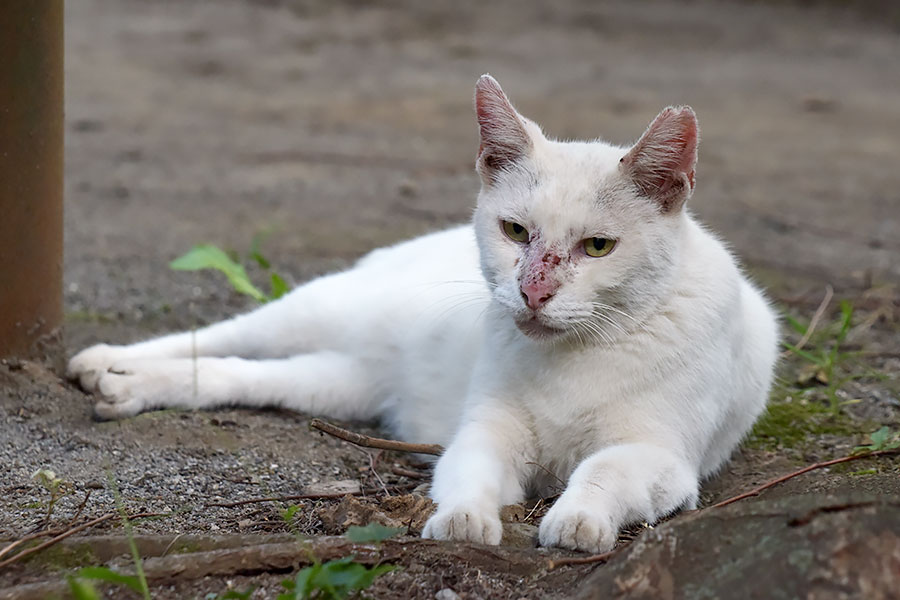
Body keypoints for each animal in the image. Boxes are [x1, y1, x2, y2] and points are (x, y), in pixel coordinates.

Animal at [68, 75, 780, 552]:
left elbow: (603, 468)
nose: (532, 291)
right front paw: (463, 520)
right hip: (320, 309)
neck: (572, 357)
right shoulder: (488, 429)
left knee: (236, 374)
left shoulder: (662, 458)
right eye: (515, 232)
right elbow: (469, 471)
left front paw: (578, 521)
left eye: (598, 247)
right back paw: (106, 362)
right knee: (221, 333)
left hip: (335, 382)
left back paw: (125, 389)